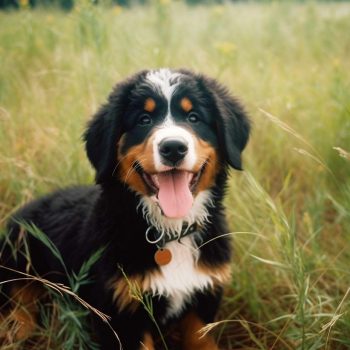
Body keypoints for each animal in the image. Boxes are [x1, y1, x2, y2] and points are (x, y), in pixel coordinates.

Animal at [1, 69, 250, 350]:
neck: (170, 230)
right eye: (144, 119)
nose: (173, 147)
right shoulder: (124, 314)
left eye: (193, 117)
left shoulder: (203, 302)